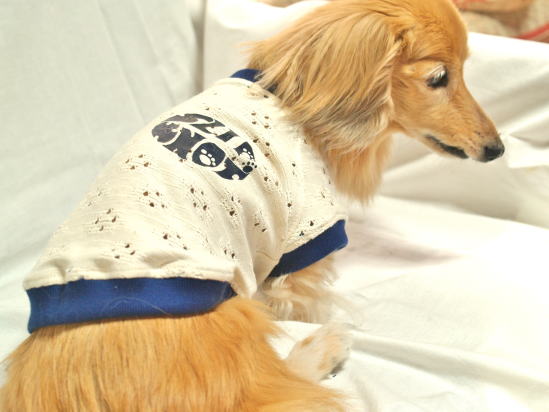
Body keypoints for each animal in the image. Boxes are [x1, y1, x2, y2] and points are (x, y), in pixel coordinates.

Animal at [0, 0, 503, 410]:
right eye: (439, 78)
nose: (497, 150)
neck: (288, 97)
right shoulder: (306, 235)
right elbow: (300, 297)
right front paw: (313, 321)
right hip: (234, 317)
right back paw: (322, 348)